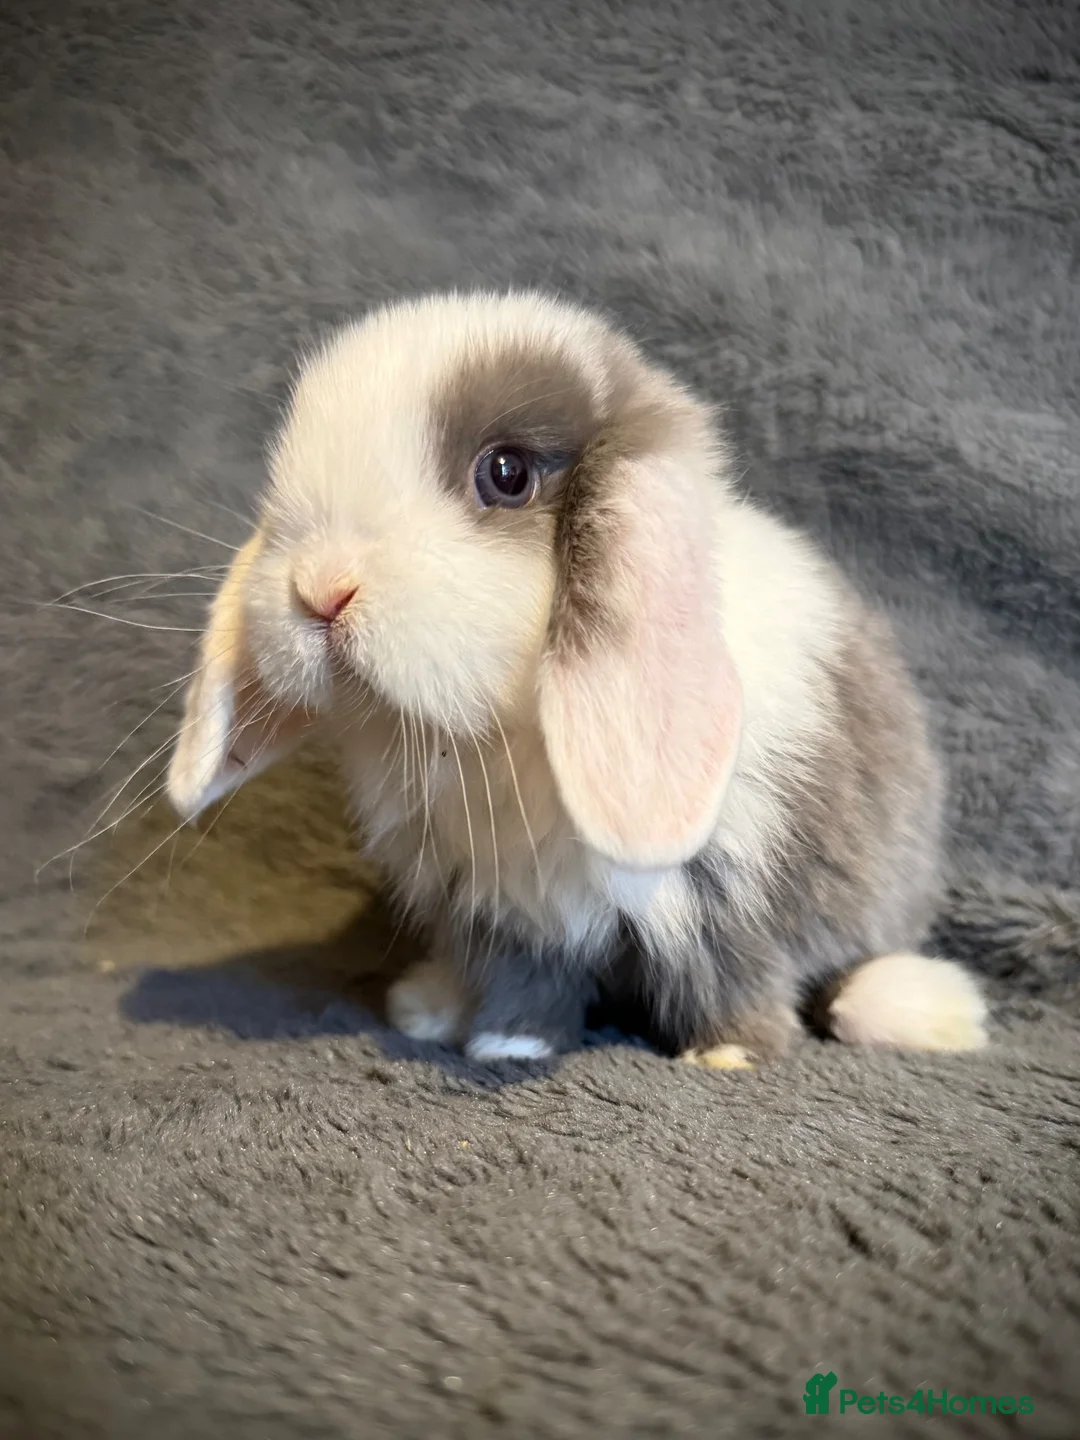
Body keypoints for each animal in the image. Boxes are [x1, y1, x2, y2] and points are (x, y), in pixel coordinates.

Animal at [166, 290, 988, 1068]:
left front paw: (731, 1055)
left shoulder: (723, 895)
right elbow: (530, 980)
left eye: (507, 474)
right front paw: (509, 1044)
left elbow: (731, 975)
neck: (500, 734)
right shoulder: (508, 911)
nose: (319, 590)